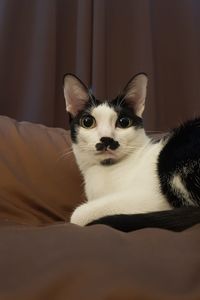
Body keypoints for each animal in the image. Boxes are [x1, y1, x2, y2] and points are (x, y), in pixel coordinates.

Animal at [63, 73, 200, 232]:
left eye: (123, 122)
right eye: (87, 122)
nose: (107, 139)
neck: (107, 170)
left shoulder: (151, 199)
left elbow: (77, 215)